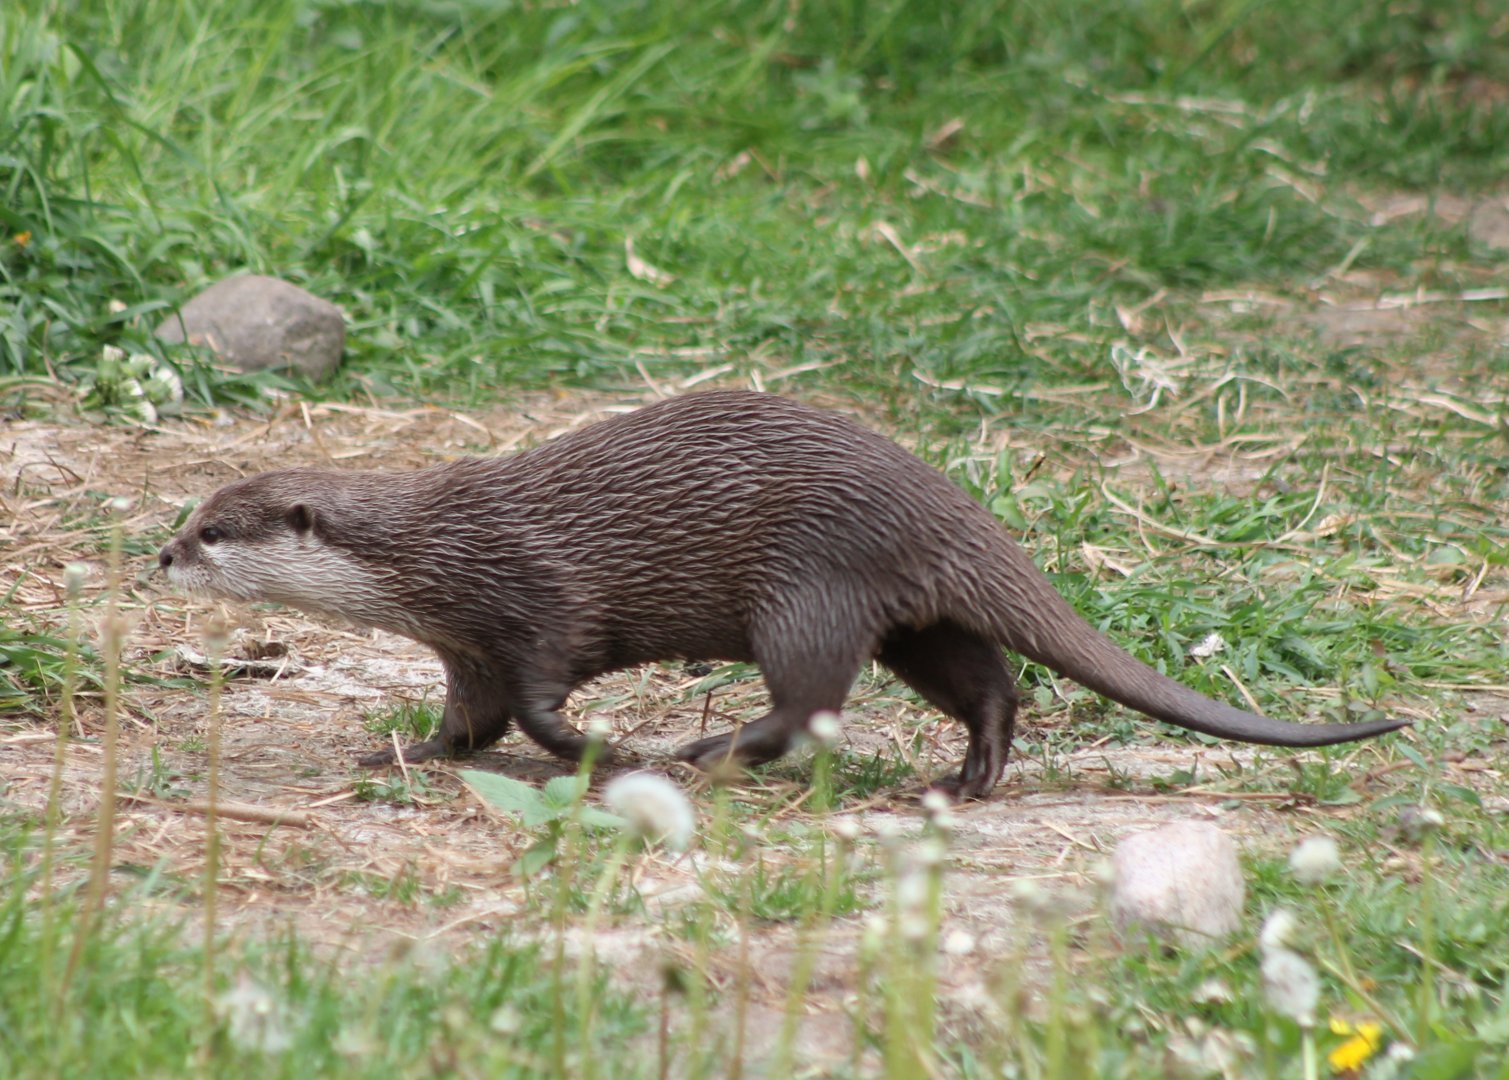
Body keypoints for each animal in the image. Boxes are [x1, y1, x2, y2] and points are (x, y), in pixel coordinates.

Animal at [158, 391, 1407, 798]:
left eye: (213, 530)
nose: (159, 554)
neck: (439, 555)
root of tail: (938, 498)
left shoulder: (534, 600)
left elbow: (542, 703)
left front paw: (605, 753)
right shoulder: (465, 645)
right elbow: (468, 721)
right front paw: (403, 750)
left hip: (807, 592)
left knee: (807, 702)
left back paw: (706, 756)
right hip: (902, 616)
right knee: (982, 679)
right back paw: (967, 775)